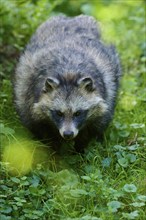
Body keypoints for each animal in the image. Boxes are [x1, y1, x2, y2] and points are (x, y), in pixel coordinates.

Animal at [14, 15, 121, 151]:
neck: (68, 73)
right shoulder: (30, 96)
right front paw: (54, 151)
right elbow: (41, 129)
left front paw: (80, 149)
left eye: (78, 113)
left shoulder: (104, 96)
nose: (68, 134)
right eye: (59, 113)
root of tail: (71, 18)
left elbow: (92, 128)